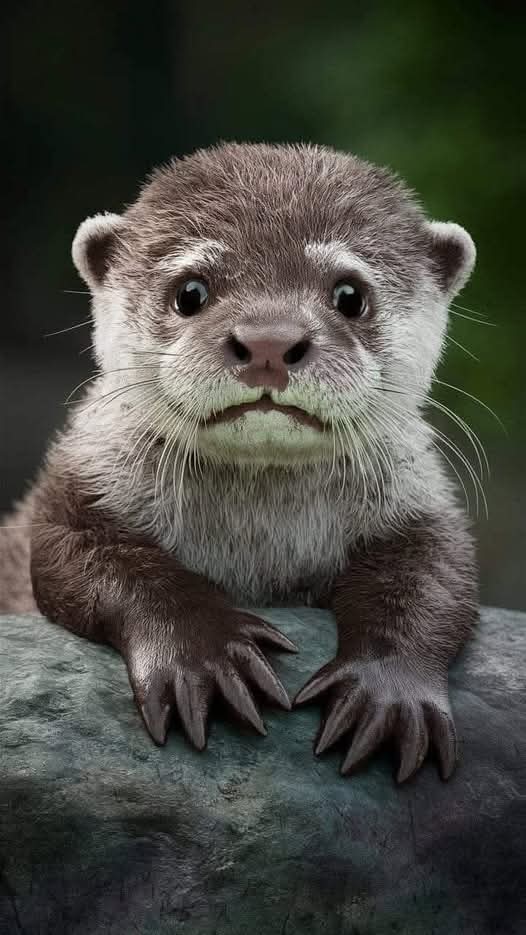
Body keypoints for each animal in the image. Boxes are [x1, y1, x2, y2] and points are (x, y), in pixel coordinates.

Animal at [0, 142, 478, 783]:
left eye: (350, 294)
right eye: (190, 291)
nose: (269, 342)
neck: (256, 547)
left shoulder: (423, 504)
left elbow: (433, 582)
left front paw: (388, 695)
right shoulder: (75, 495)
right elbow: (99, 569)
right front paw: (202, 657)